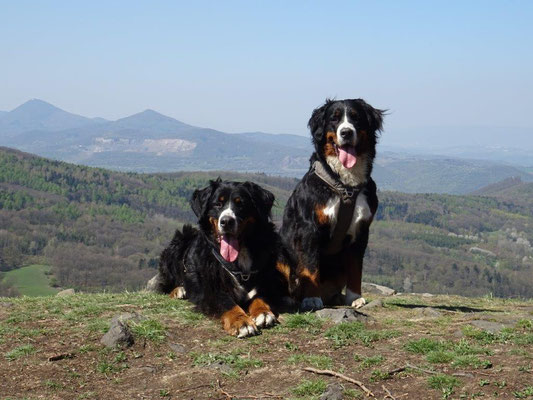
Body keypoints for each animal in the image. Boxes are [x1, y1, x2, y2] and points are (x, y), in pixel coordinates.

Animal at [151, 178, 296, 338]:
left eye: (241, 204)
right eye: (218, 204)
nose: (226, 221)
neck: (239, 260)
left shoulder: (266, 280)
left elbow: (260, 297)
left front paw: (263, 313)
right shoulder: (210, 291)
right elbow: (226, 303)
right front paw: (241, 322)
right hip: (180, 240)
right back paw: (179, 290)